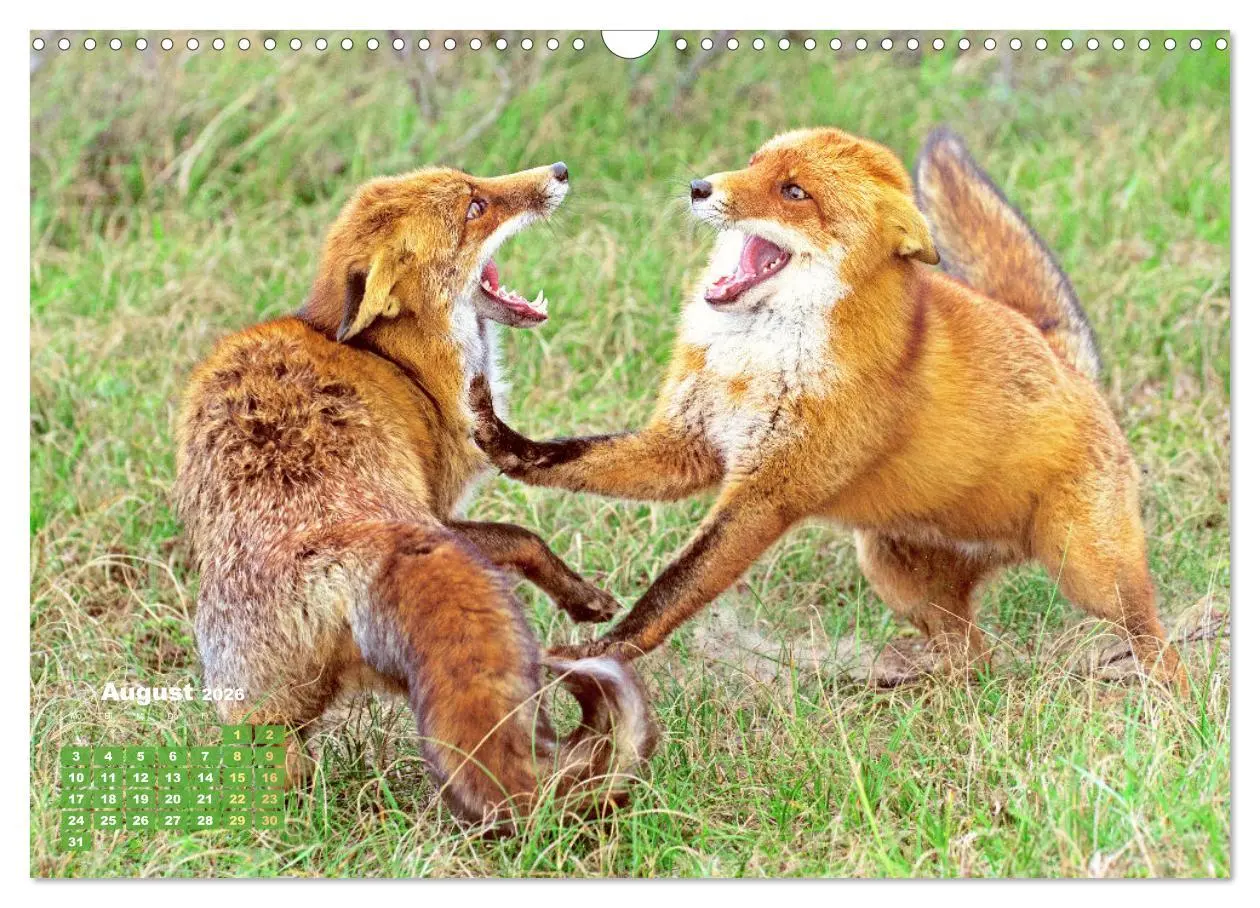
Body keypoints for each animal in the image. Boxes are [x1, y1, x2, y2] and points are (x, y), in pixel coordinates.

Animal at [173, 161, 656, 829]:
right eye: (476, 206)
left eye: (476, 180)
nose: (559, 171)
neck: (401, 364)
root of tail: (338, 541)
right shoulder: (443, 510)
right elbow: (524, 538)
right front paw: (584, 599)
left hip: (262, 723)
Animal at [471, 126, 1187, 693]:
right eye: (753, 164)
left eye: (795, 193)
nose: (700, 186)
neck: (754, 359)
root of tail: (1065, 359)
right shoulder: (687, 447)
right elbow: (571, 457)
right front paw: (506, 442)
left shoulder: (769, 493)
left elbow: (675, 585)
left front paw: (604, 651)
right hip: (897, 576)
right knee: (976, 659)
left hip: (1088, 570)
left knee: (1156, 639)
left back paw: (1173, 712)